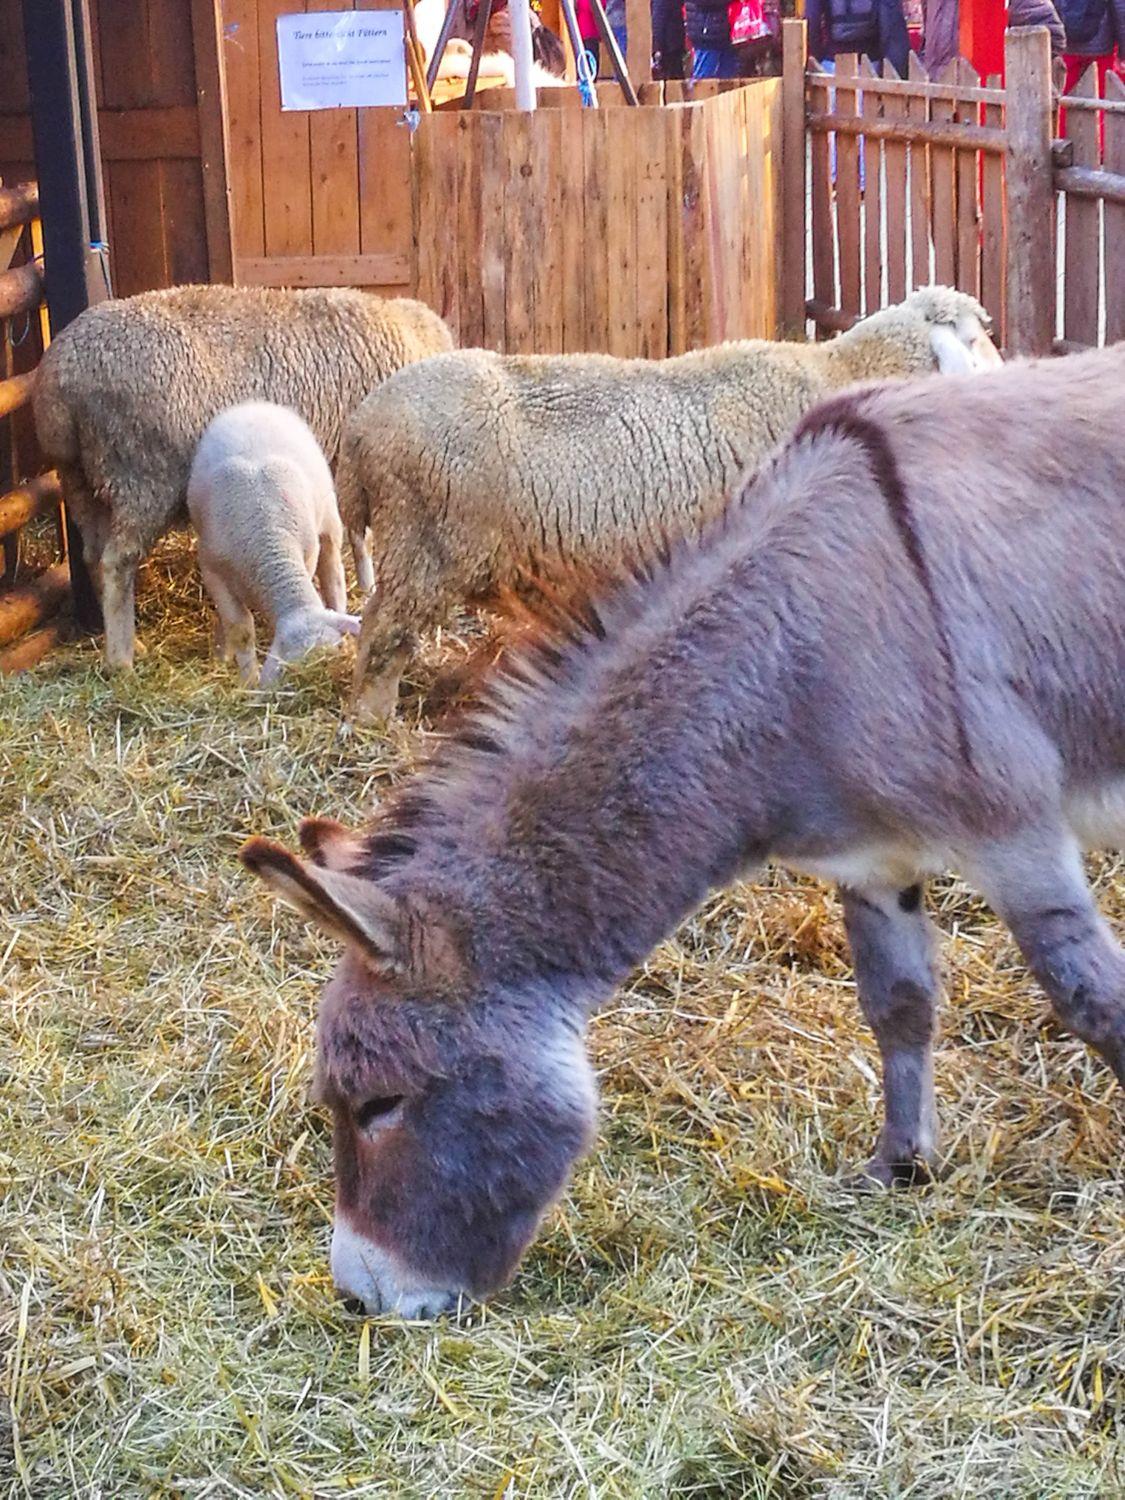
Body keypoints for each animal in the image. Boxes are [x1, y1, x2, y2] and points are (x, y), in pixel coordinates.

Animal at [187, 402, 361, 687]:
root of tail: (255, 405)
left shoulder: (307, 556)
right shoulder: (213, 572)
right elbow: (241, 629)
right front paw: (247, 681)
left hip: (329, 522)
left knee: (333, 575)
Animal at [339, 286, 1002, 721]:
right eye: (977, 340)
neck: (841, 371)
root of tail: (361, 426)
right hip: (424, 546)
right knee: (381, 634)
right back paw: (373, 721)